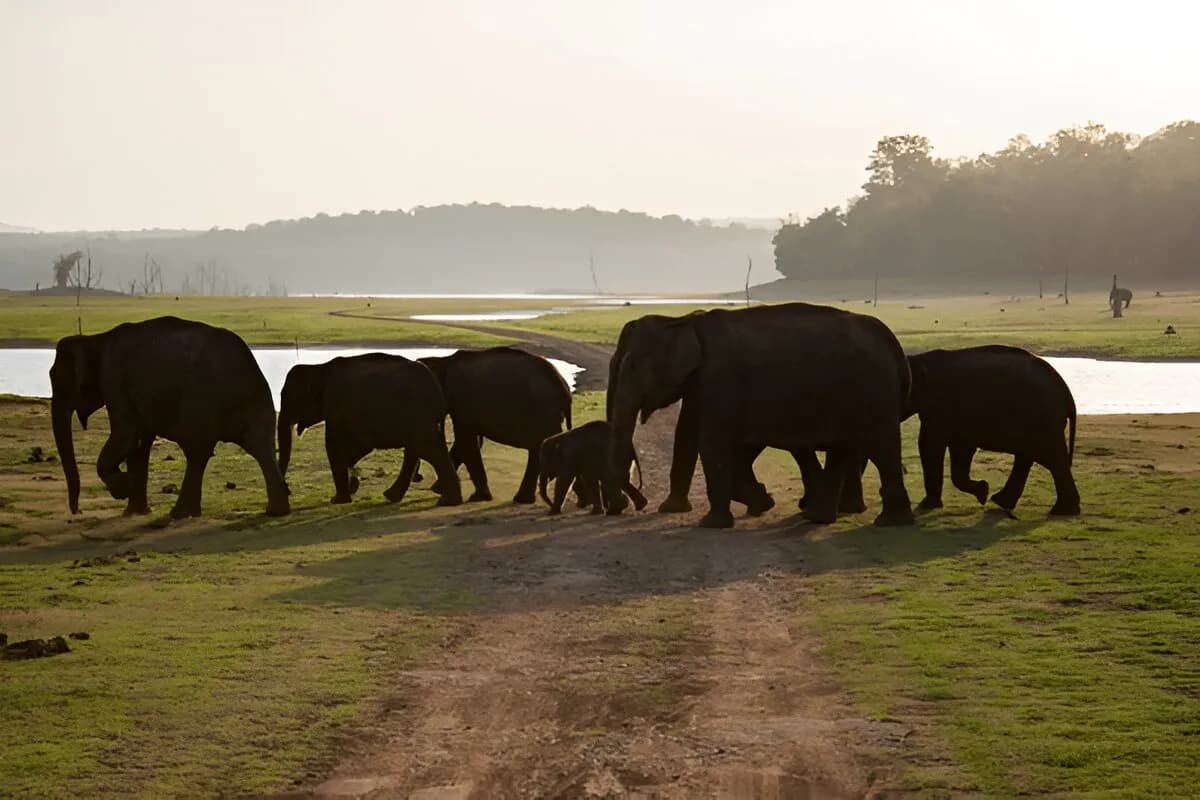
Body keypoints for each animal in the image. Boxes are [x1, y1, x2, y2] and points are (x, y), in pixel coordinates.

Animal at [49, 316, 290, 519]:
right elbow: (139, 442)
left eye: (59, 383)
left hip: (201, 398)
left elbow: (127, 434)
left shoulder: (113, 379)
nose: (77, 511)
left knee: (197, 450)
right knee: (259, 445)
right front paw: (135, 510)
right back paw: (276, 511)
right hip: (252, 400)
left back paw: (179, 514)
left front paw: (123, 488)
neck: (95, 339)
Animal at [277, 354, 462, 506]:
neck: (319, 367)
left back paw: (446, 501)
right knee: (418, 450)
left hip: (417, 414)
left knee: (427, 450)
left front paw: (338, 499)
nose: (289, 491)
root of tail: (434, 386)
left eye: (287, 397)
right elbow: (357, 448)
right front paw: (353, 484)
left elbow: (335, 446)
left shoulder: (335, 408)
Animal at [418, 347, 573, 503]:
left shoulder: (461, 402)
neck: (443, 361)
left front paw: (476, 497)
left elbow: (466, 442)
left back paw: (522, 499)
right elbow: (467, 443)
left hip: (543, 412)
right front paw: (438, 489)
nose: (419, 478)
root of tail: (564, 390)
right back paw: (524, 498)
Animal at [605, 303, 915, 528]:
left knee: (882, 448)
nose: (628, 505)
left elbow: (710, 441)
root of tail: (893, 344)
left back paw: (887, 522)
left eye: (631, 367)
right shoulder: (700, 382)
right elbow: (686, 434)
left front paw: (713, 523)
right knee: (845, 448)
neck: (684, 320)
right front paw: (761, 502)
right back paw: (821, 516)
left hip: (874, 392)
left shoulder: (721, 378)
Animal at [907, 345, 1079, 515]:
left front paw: (927, 505)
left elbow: (929, 444)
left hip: (1042, 418)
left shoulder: (940, 406)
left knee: (1051, 458)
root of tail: (1068, 397)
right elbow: (959, 448)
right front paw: (983, 491)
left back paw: (1062, 511)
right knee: (1031, 456)